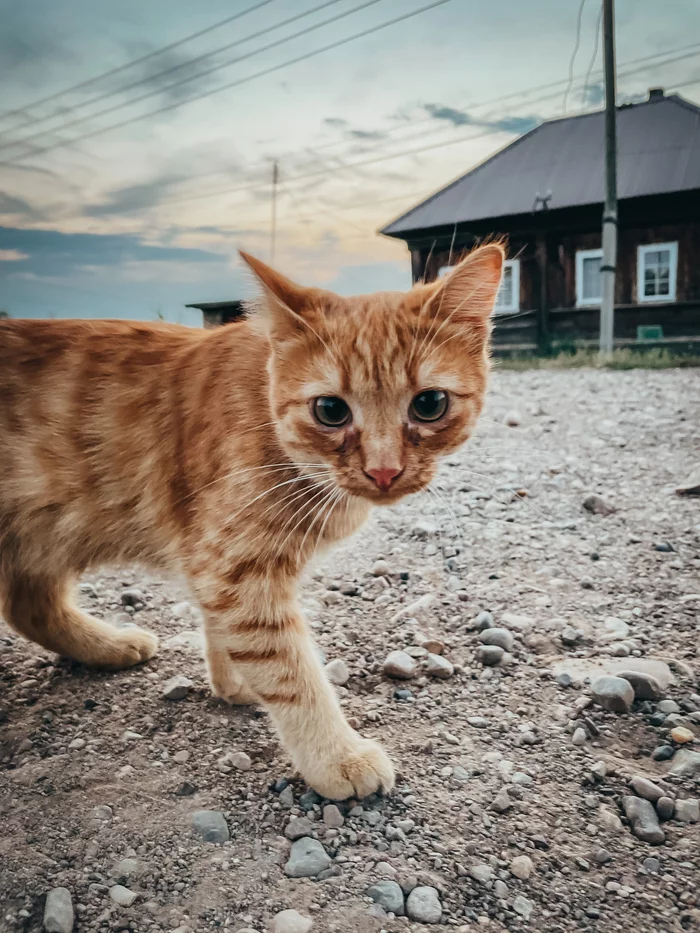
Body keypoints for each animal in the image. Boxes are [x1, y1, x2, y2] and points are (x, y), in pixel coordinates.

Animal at [0, 244, 504, 796]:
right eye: (330, 410)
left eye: (429, 404)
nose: (384, 471)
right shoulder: (233, 568)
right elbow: (289, 670)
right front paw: (336, 756)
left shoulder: (215, 565)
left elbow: (226, 632)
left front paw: (233, 682)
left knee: (28, 606)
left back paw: (109, 645)